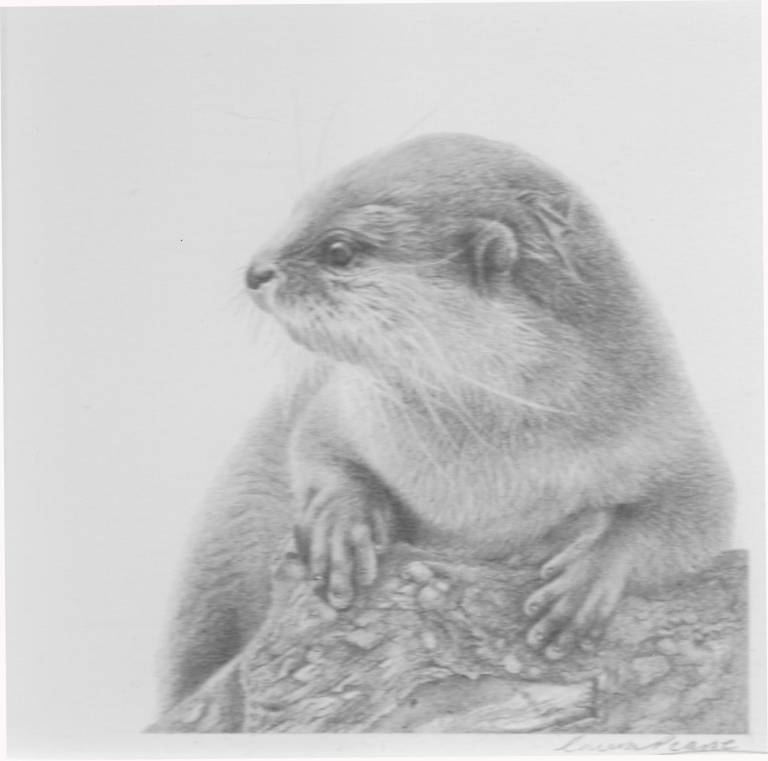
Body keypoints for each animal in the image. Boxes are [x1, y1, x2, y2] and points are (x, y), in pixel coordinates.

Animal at [161, 133, 733, 711]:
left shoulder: (661, 421)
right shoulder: (345, 405)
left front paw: (591, 575)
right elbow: (311, 442)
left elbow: (700, 513)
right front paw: (341, 525)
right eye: (295, 211)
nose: (255, 271)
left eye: (339, 251)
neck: (476, 479)